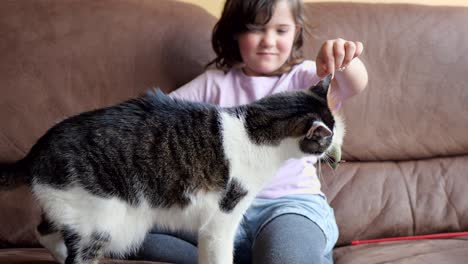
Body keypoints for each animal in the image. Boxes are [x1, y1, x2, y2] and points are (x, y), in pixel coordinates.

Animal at [0, 73, 344, 264]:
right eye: (326, 137)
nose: (333, 149)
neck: (255, 129)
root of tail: (35, 152)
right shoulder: (222, 221)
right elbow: (221, 256)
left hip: (70, 207)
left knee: (43, 229)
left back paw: (57, 253)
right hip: (102, 222)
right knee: (78, 253)